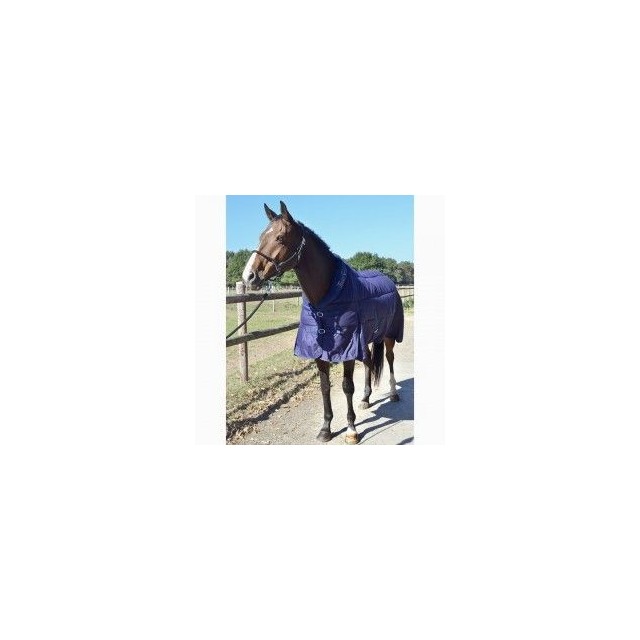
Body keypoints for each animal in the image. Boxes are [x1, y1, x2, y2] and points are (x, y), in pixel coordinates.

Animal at [242, 200, 404, 444]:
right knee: (368, 362)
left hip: (388, 335)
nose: (248, 277)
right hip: (367, 337)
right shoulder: (320, 351)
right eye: (261, 236)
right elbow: (325, 387)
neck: (326, 299)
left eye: (280, 237)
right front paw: (326, 429)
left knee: (390, 359)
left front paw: (351, 430)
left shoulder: (347, 349)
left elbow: (347, 387)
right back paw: (366, 399)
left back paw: (393, 393)